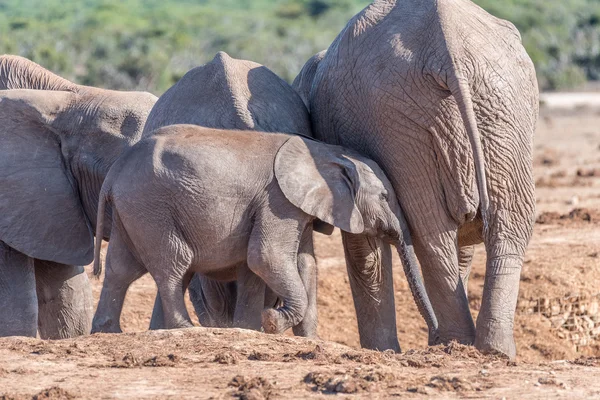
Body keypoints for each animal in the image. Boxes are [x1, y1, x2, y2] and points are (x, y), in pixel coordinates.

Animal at [89, 126, 436, 340]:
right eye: (385, 197)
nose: (434, 336)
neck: (324, 152)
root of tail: (115, 171)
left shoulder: (296, 205)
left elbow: (304, 264)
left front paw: (307, 339)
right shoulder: (278, 200)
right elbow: (265, 258)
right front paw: (271, 322)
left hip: (133, 209)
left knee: (121, 268)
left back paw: (108, 333)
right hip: (152, 206)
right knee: (174, 265)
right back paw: (186, 329)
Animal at [296, 0, 540, 358]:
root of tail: (448, 47)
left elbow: (365, 251)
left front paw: (381, 351)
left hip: (437, 111)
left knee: (436, 232)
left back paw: (464, 345)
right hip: (478, 110)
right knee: (493, 224)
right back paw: (484, 349)